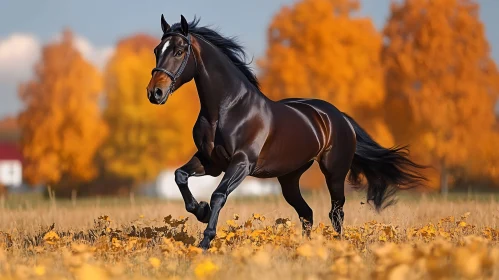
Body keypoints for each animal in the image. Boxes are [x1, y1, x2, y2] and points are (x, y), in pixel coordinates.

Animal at [146, 14, 428, 249]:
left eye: (180, 51)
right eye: (157, 50)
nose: (154, 93)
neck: (227, 109)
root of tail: (338, 117)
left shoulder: (241, 163)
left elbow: (218, 195)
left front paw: (205, 240)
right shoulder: (210, 162)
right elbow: (180, 176)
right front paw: (200, 211)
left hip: (334, 173)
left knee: (335, 212)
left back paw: (338, 247)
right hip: (289, 178)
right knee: (307, 213)